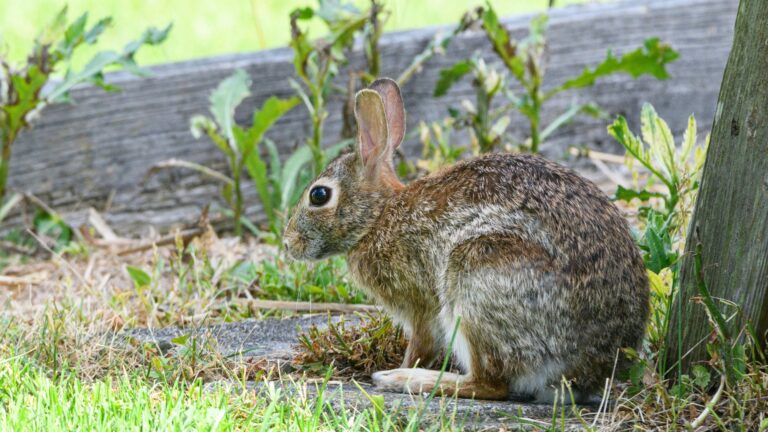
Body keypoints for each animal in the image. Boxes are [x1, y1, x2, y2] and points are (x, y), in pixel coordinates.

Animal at [283, 77, 649, 403]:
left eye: (319, 195)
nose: (288, 244)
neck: (378, 216)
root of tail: (590, 367)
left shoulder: (420, 305)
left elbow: (421, 343)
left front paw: (399, 367)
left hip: (476, 276)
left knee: (491, 384)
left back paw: (408, 379)